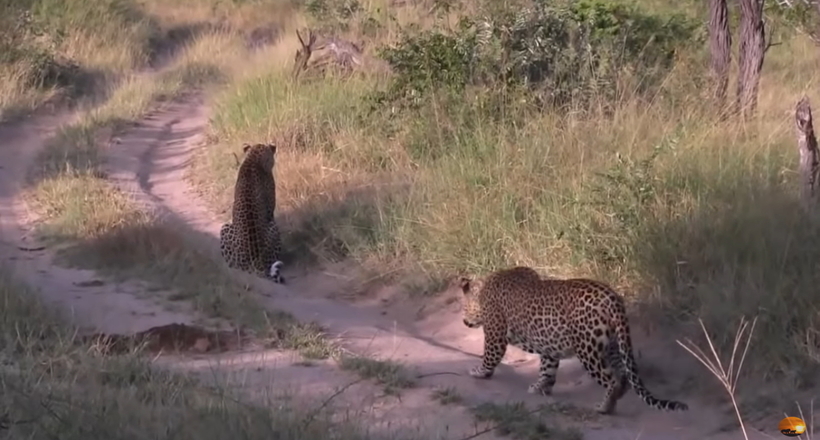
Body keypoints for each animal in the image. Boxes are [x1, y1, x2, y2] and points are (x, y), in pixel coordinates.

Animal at [458, 264, 688, 416]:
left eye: (465, 307)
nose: (464, 321)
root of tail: (612, 298)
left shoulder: (495, 333)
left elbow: (489, 356)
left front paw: (479, 372)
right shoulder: (549, 345)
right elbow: (547, 369)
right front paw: (541, 387)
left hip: (588, 350)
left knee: (612, 379)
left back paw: (605, 407)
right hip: (612, 345)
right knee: (624, 375)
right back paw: (615, 398)